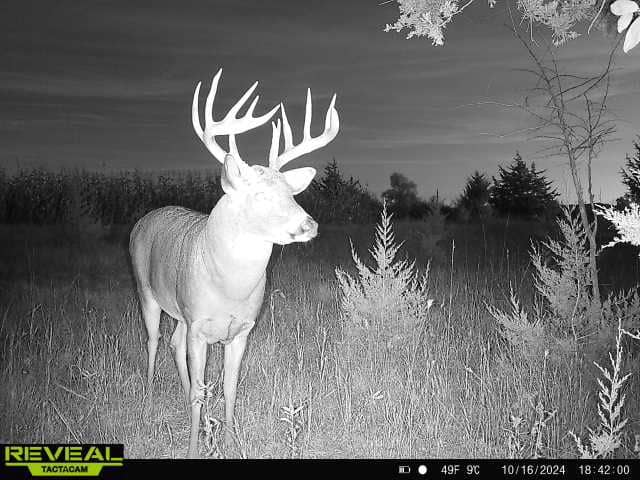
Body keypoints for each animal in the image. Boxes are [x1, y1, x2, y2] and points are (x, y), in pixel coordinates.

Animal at [129, 68, 339, 458]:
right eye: (259, 194)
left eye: (291, 193)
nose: (309, 225)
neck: (229, 288)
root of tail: (147, 217)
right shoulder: (199, 325)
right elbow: (201, 392)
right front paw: (194, 449)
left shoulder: (240, 330)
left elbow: (229, 388)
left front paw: (228, 441)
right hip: (145, 289)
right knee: (153, 340)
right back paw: (149, 399)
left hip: (181, 314)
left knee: (173, 342)